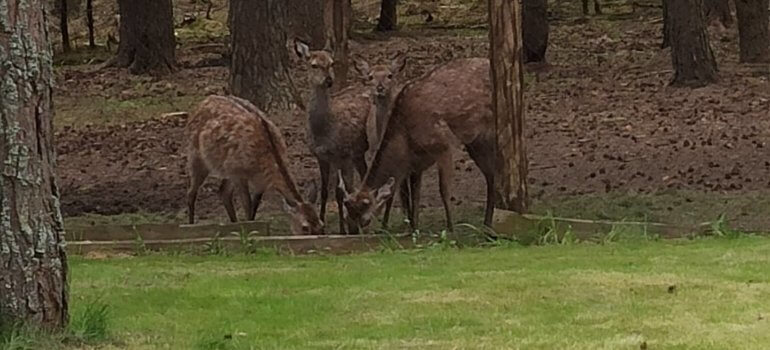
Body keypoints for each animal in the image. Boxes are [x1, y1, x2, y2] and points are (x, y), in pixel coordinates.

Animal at [186, 95, 324, 235]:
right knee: (191, 192)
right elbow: (247, 205)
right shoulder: (239, 174)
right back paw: (190, 225)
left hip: (226, 169)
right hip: (196, 155)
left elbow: (254, 206)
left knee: (223, 192)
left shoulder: (258, 181)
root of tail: (202, 102)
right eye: (304, 227)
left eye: (321, 224)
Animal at [292, 39, 404, 234]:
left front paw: (342, 229)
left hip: (356, 153)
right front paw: (323, 225)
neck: (324, 131)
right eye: (314, 65)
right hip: (358, 154)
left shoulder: (343, 155)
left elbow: (340, 192)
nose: (329, 80)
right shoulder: (321, 156)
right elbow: (325, 191)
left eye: (331, 63)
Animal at [340, 57, 496, 234]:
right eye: (346, 218)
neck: (405, 141)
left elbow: (444, 190)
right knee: (491, 175)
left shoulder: (442, 145)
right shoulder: (416, 164)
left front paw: (450, 229)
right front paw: (414, 229)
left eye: (365, 220)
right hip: (475, 142)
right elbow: (415, 196)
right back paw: (487, 226)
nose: (354, 233)